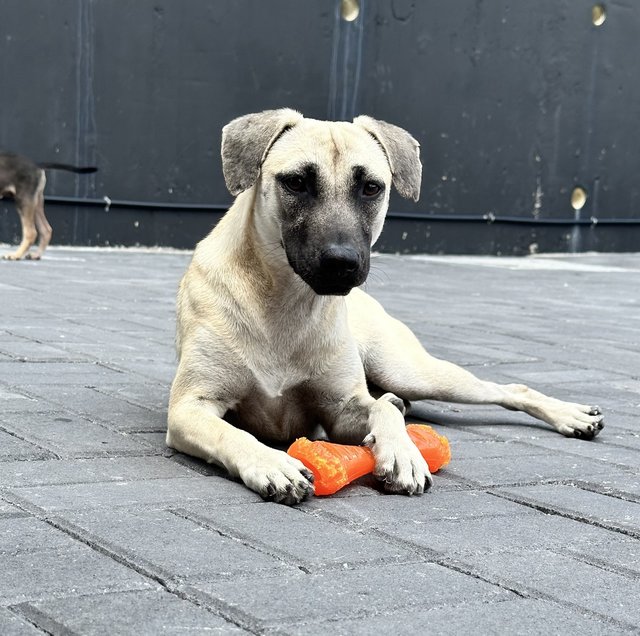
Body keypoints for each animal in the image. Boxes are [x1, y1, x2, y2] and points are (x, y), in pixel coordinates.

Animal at [166, 110, 604, 506]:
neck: (285, 304)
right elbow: (231, 432)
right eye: (296, 182)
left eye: (371, 188)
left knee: (506, 389)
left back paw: (570, 415)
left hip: (412, 371)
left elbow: (384, 412)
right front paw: (272, 463)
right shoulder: (189, 409)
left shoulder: (342, 410)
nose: (342, 263)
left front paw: (402, 453)